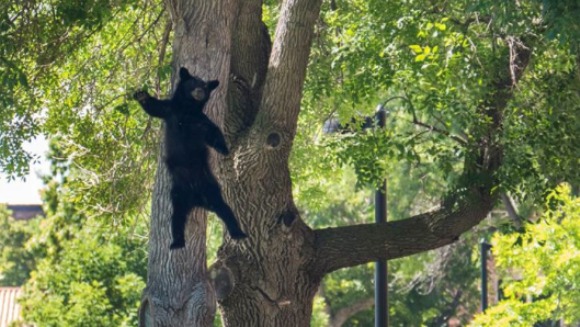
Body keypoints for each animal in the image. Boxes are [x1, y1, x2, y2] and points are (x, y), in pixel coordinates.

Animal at [133, 67, 247, 251]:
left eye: (206, 86)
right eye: (193, 82)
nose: (200, 91)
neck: (188, 109)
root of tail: (197, 199)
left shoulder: (202, 120)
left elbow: (214, 132)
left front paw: (224, 148)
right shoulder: (170, 110)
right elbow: (155, 107)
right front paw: (142, 95)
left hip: (211, 187)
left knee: (224, 208)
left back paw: (238, 233)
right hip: (178, 194)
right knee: (177, 218)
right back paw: (177, 242)